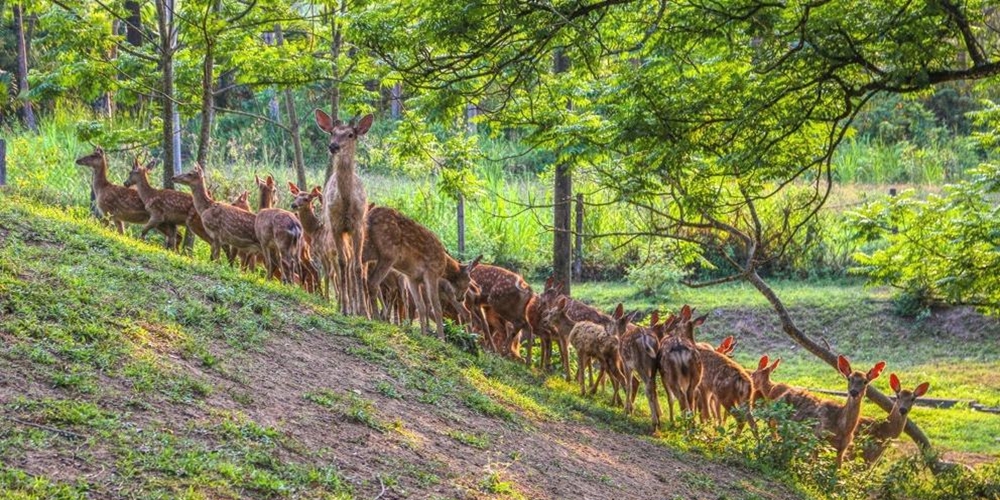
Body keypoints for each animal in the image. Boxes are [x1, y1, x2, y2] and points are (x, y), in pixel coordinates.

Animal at [315, 110, 372, 318]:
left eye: (350, 134)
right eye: (332, 132)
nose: (333, 146)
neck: (347, 204)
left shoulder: (357, 226)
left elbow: (357, 266)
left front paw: (363, 311)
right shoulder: (336, 225)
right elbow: (342, 263)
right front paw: (346, 308)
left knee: (353, 263)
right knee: (344, 264)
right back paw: (344, 305)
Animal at [363, 205, 480, 338]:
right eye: (469, 280)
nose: (462, 298)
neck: (444, 265)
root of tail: (371, 215)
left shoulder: (413, 278)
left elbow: (421, 307)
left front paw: (423, 335)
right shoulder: (431, 272)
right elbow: (436, 307)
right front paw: (441, 338)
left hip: (369, 247)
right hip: (388, 253)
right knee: (372, 282)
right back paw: (376, 319)